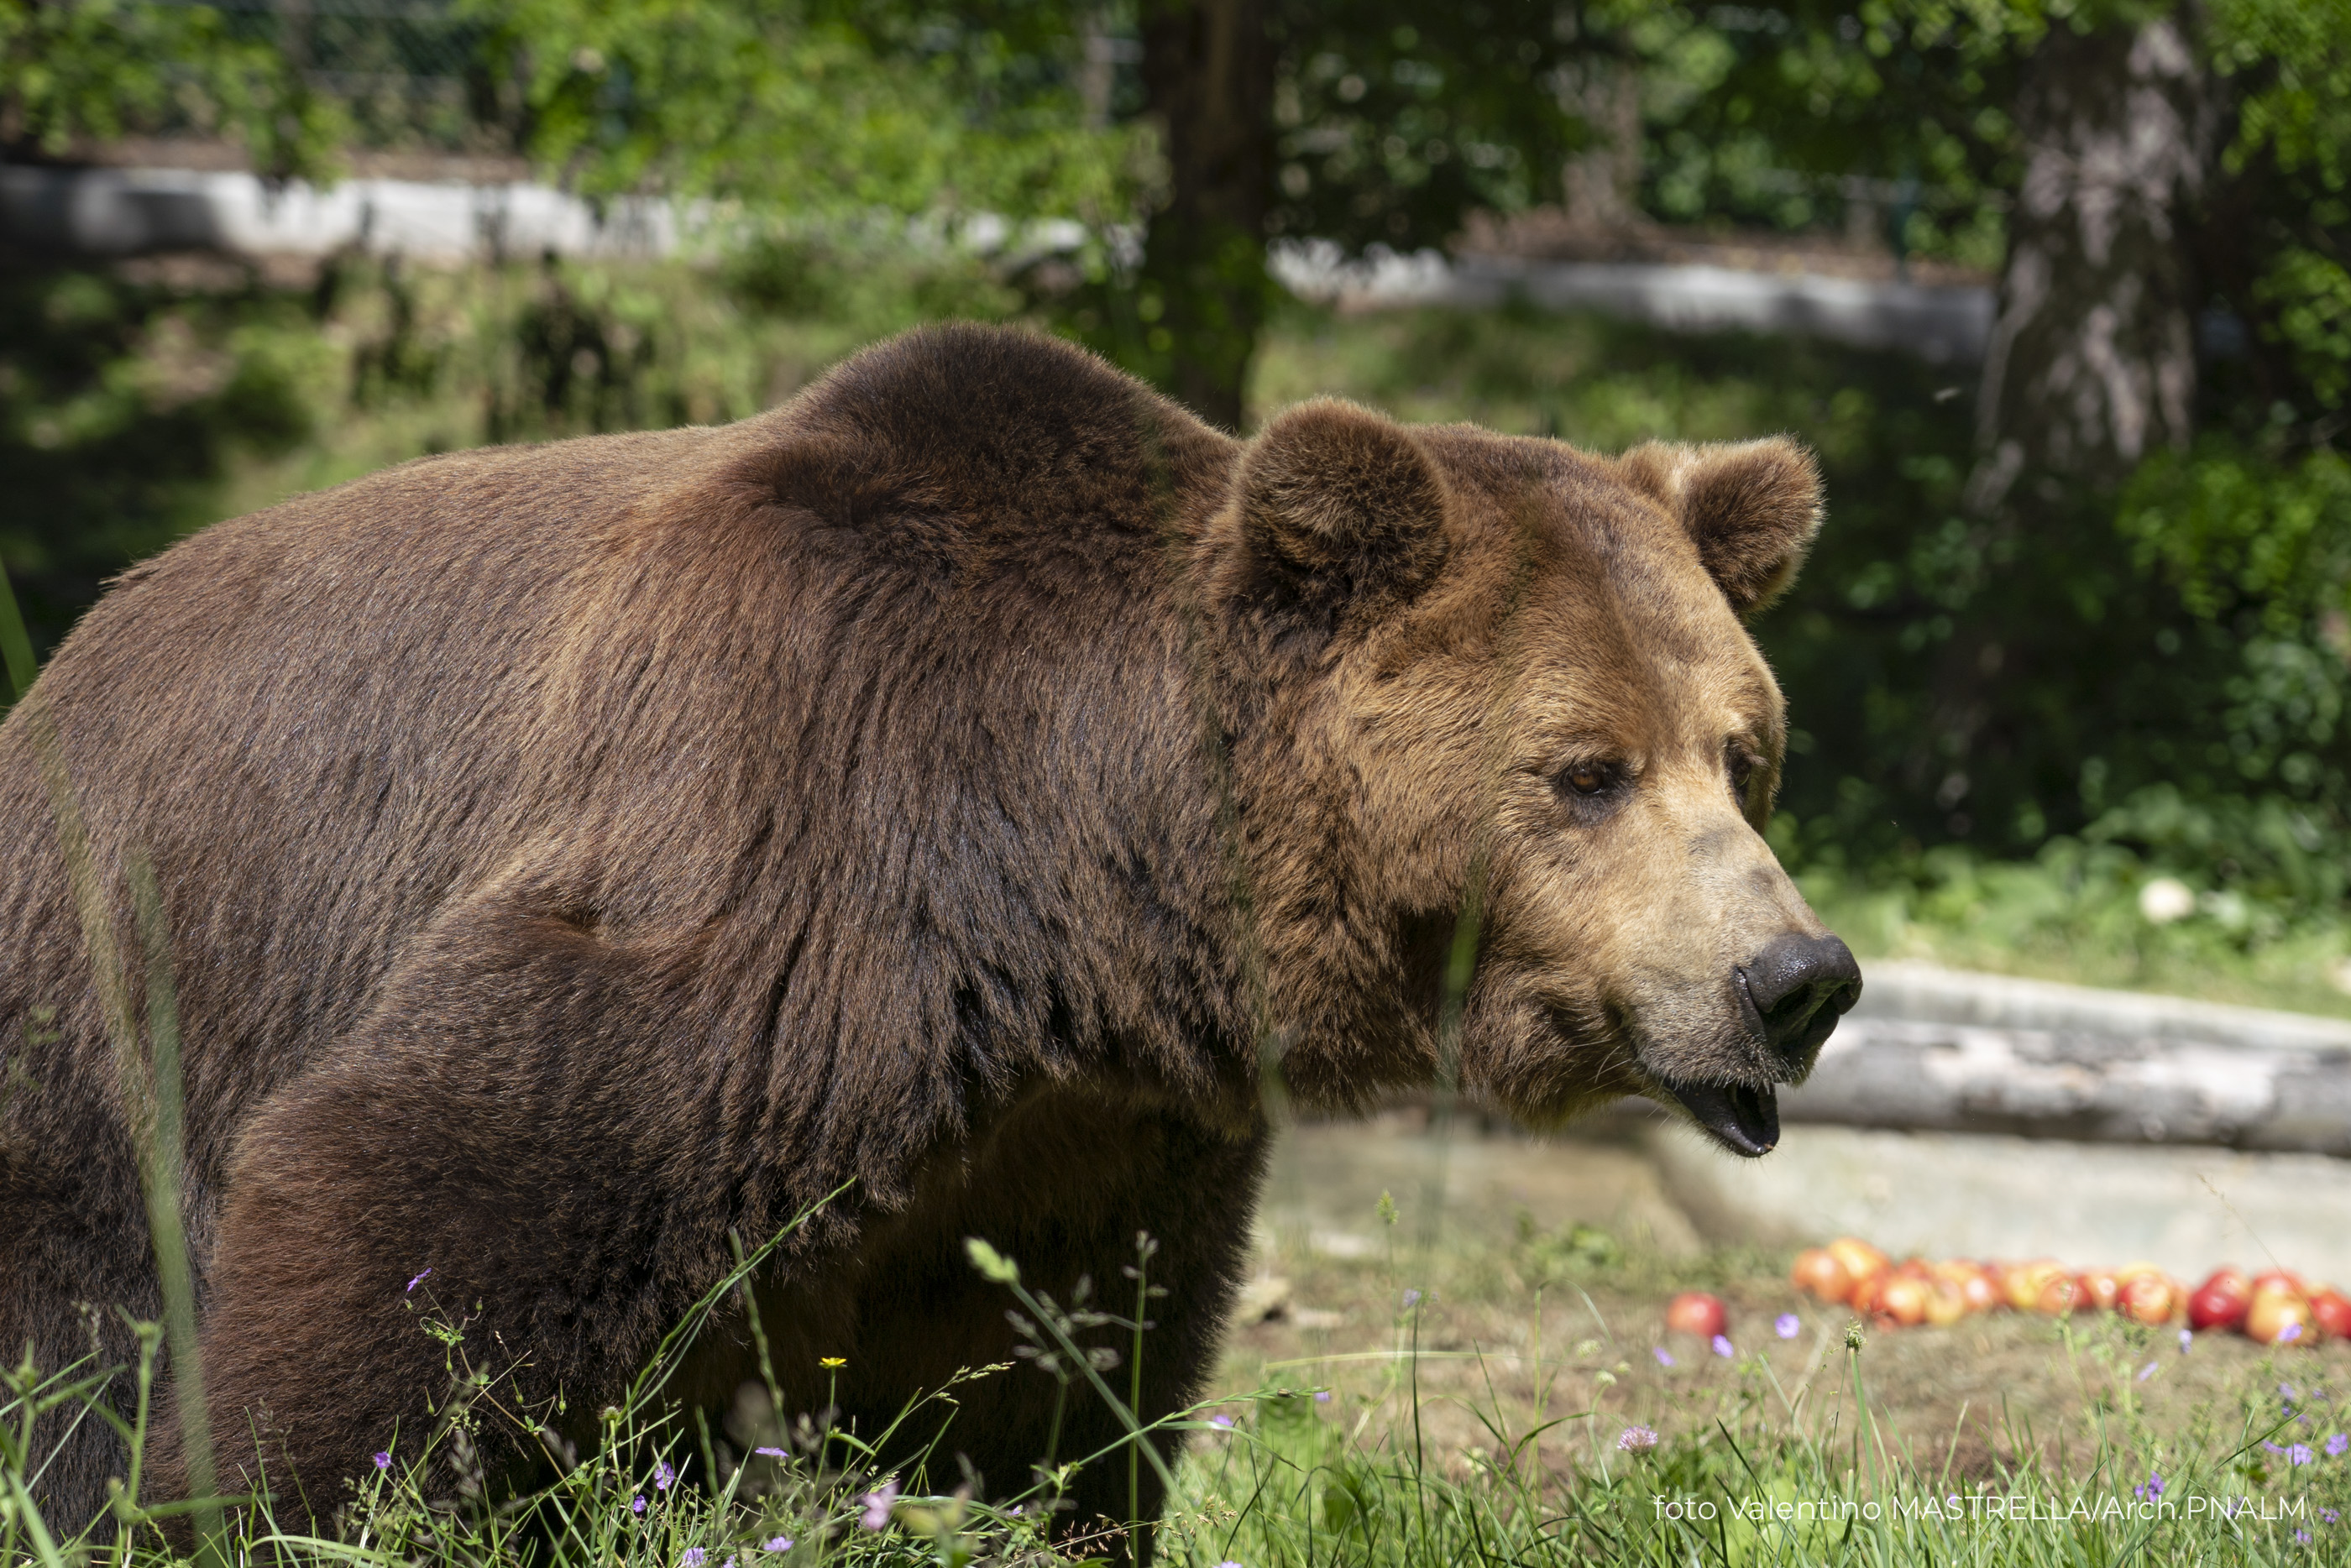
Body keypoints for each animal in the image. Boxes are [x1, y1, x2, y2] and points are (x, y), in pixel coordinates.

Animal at [0, 319, 1852, 1542]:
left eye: (1743, 753)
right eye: (1584, 770)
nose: (1798, 978)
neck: (1072, 891)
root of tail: (62, 658)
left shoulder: (1077, 1139)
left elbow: (1040, 1385)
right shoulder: (779, 856)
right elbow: (421, 1194)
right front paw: (254, 1502)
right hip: (121, 981)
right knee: (76, 1308)